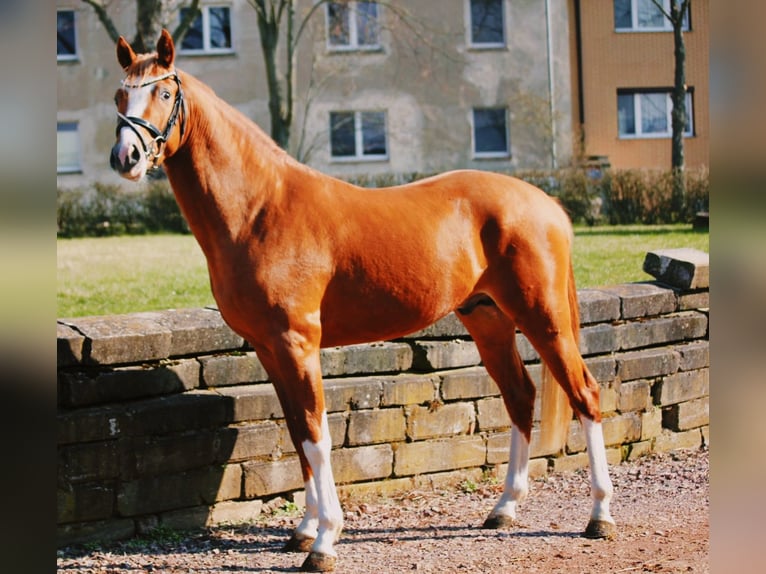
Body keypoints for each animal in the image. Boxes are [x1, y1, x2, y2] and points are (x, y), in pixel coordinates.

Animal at [109, 30, 616, 572]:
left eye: (164, 93)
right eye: (119, 97)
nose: (126, 157)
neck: (260, 210)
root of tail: (547, 204)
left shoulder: (297, 343)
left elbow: (318, 434)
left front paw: (325, 540)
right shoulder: (269, 349)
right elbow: (298, 433)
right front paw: (304, 530)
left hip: (544, 317)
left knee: (585, 394)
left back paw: (600, 515)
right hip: (489, 319)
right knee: (520, 396)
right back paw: (504, 508)